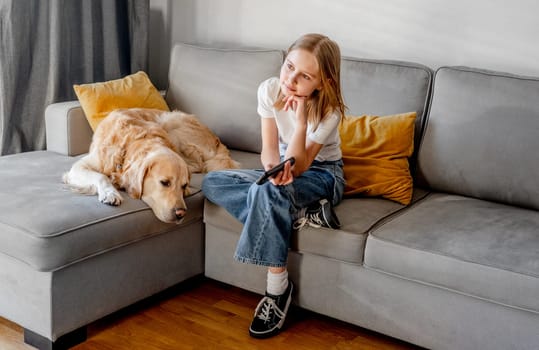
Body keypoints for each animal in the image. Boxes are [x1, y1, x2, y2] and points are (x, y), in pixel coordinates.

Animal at [63, 108, 240, 223]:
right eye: (164, 183)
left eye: (183, 186)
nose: (181, 213)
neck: (132, 142)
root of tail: (218, 142)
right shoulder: (79, 166)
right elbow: (100, 176)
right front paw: (110, 193)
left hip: (171, 122)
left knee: (198, 164)